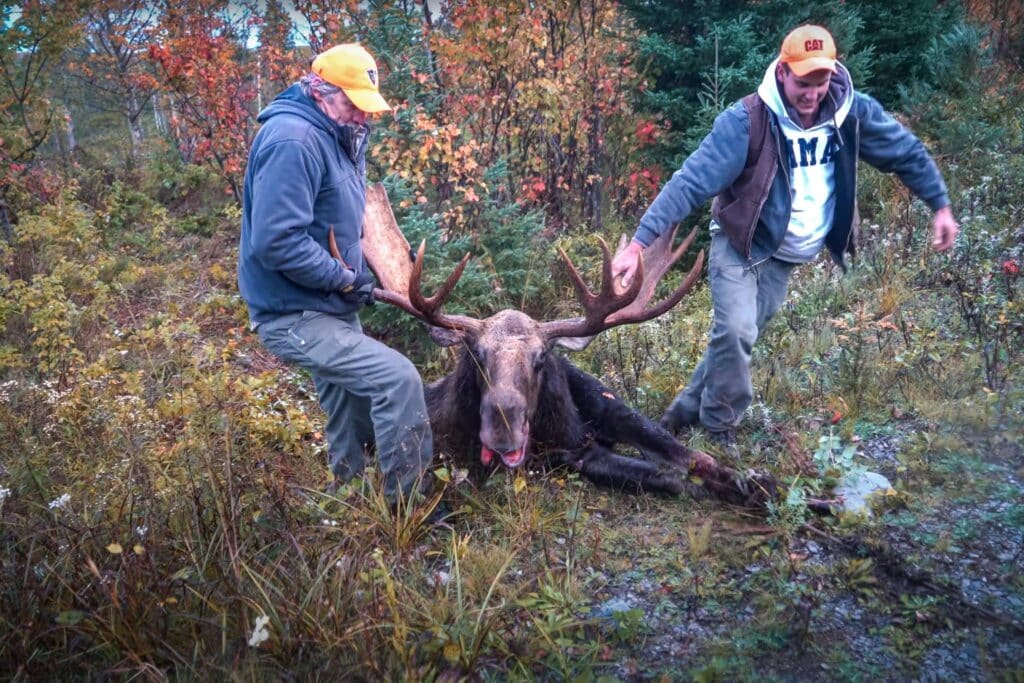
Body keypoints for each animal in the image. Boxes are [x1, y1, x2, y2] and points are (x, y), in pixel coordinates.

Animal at [335, 184, 774, 505]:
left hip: (607, 399)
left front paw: (746, 486)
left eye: (541, 358)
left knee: (689, 452)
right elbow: (668, 479)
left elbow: (678, 469)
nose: (503, 431)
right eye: (477, 356)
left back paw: (754, 482)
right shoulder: (572, 456)